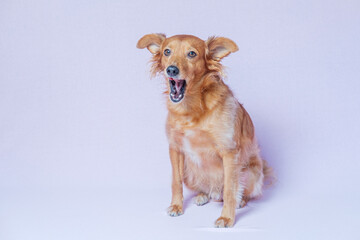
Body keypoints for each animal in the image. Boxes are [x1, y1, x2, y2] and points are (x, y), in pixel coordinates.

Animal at [136, 33, 272, 227]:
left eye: (192, 54)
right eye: (167, 51)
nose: (171, 70)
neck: (191, 109)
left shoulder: (229, 152)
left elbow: (230, 189)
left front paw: (227, 218)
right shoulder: (175, 148)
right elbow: (175, 182)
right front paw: (177, 206)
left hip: (251, 172)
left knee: (240, 191)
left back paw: (240, 201)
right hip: (189, 170)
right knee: (206, 189)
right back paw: (203, 195)